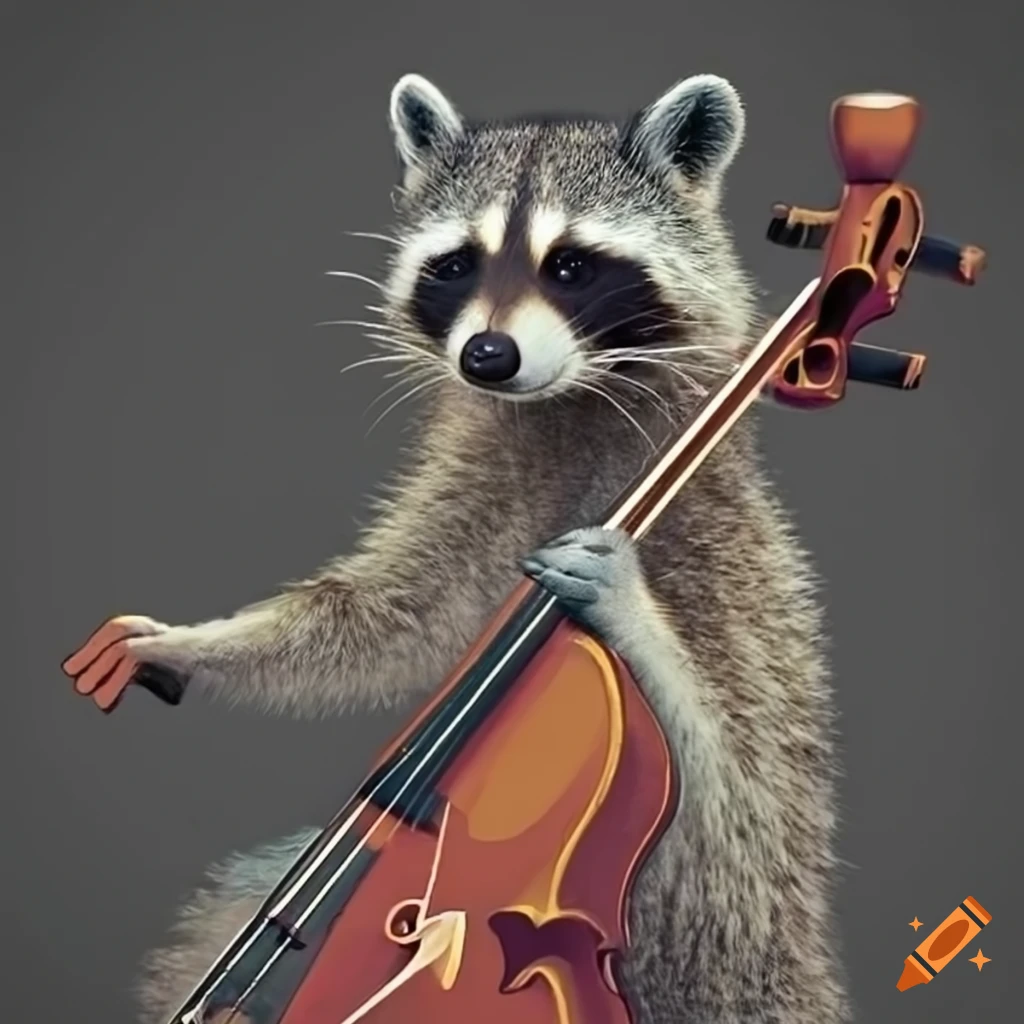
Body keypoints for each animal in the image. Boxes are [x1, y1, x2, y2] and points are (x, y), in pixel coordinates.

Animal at [62, 72, 851, 1023]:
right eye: (456, 264)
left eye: (571, 266)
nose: (487, 356)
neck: (562, 407)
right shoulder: (479, 483)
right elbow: (389, 614)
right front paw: (190, 644)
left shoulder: (733, 574)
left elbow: (734, 826)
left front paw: (620, 599)